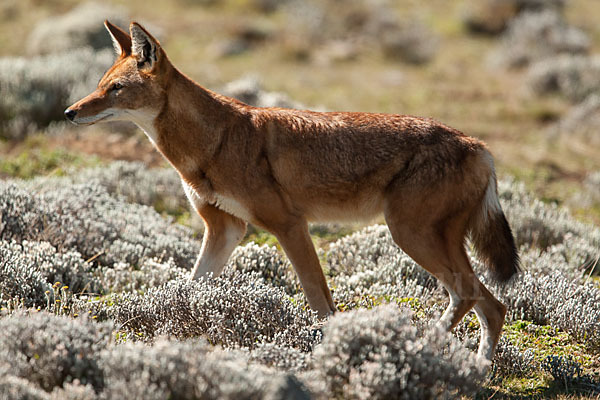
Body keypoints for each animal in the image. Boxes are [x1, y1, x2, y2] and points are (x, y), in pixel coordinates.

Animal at [63, 20, 516, 360]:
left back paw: (432, 348)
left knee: (473, 297)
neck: (214, 142)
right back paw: (473, 367)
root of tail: (479, 146)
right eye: (100, 84)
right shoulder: (225, 230)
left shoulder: (290, 225)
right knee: (492, 305)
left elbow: (318, 299)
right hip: (427, 241)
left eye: (115, 89)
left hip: (410, 236)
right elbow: (190, 288)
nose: (69, 112)